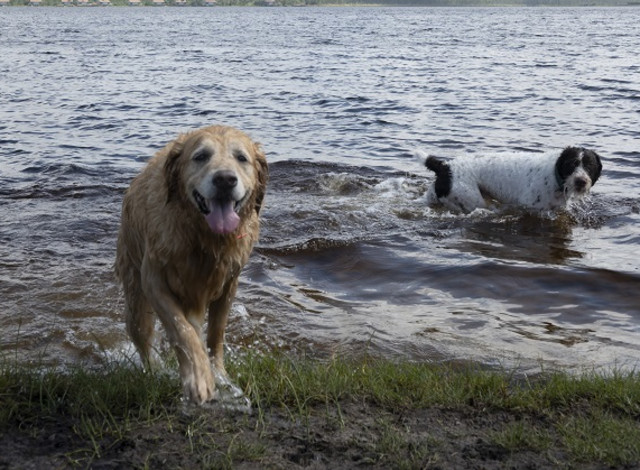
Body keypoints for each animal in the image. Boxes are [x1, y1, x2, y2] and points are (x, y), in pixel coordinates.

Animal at [418, 147, 604, 213]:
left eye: (589, 166)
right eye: (571, 165)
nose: (581, 181)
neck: (555, 176)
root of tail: (446, 167)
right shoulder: (530, 207)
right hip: (471, 200)